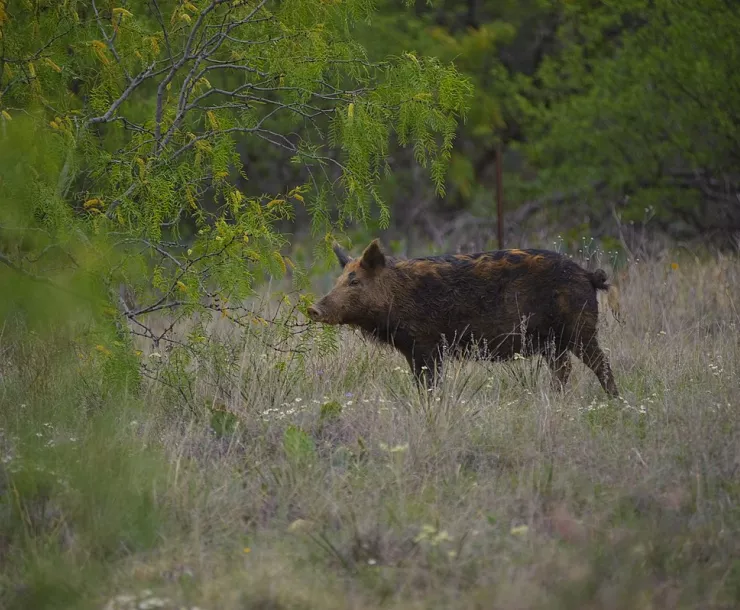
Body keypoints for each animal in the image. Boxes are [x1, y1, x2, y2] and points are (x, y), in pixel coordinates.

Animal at [307, 239, 619, 397]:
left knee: (600, 364)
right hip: (553, 343)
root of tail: (588, 275)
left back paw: (615, 400)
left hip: (581, 329)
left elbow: (430, 383)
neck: (397, 295)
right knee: (563, 369)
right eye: (339, 280)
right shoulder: (412, 349)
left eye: (355, 281)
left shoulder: (428, 345)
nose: (313, 309)